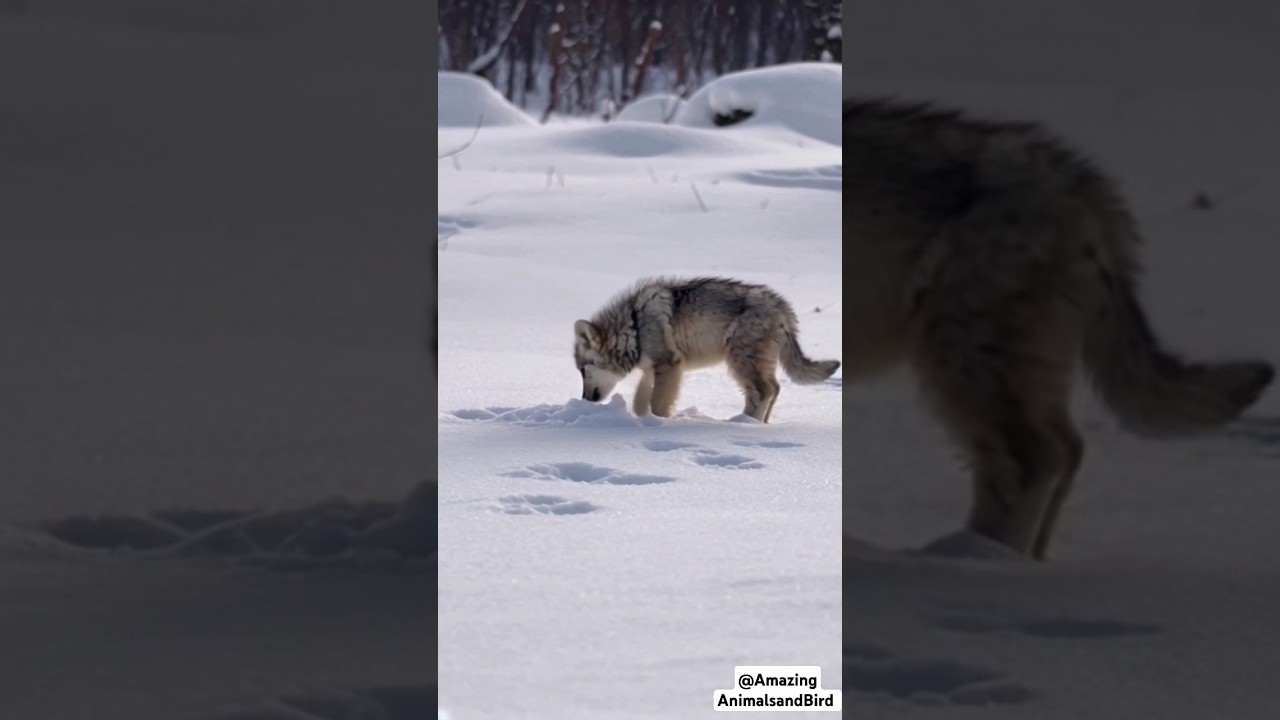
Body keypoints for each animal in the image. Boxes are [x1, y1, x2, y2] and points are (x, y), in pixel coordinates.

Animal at [572, 277, 841, 423]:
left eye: (583, 371)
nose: (584, 399)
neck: (635, 325)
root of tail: (782, 306)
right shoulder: (653, 370)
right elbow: (640, 402)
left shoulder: (670, 365)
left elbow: (658, 404)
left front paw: (658, 423)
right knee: (774, 389)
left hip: (740, 362)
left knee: (763, 391)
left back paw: (744, 424)